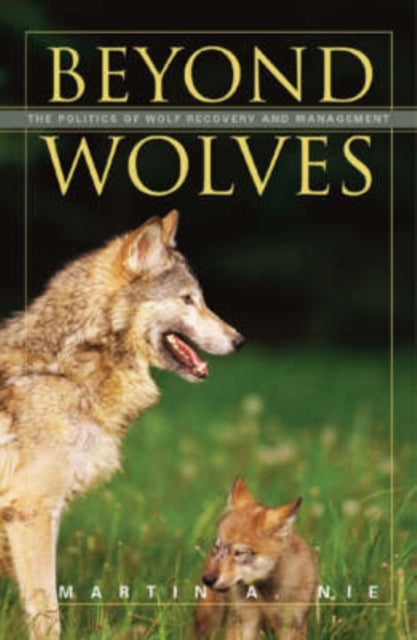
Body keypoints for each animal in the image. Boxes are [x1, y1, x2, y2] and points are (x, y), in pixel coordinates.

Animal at [0, 210, 243, 639]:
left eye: (200, 299)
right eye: (188, 299)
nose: (240, 339)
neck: (66, 371)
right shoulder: (31, 512)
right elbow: (48, 612)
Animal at [194, 477, 317, 640]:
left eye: (239, 553)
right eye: (217, 547)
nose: (207, 579)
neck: (266, 595)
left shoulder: (292, 626)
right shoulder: (245, 622)